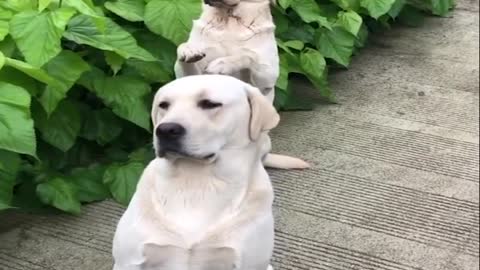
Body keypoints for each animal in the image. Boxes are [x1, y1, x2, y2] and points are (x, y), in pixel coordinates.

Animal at [174, 0, 310, 170]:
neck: (229, 20)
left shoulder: (268, 76)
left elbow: (247, 55)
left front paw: (223, 63)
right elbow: (182, 46)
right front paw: (189, 49)